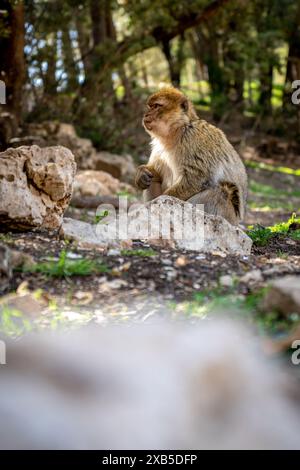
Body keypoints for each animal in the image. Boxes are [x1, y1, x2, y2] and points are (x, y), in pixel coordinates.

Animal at [135, 88, 247, 228]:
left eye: (156, 106)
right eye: (150, 107)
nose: (146, 115)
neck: (178, 131)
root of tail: (236, 223)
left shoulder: (194, 137)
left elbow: (196, 179)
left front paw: (164, 200)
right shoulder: (158, 146)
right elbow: (156, 172)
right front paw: (142, 173)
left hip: (227, 216)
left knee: (219, 193)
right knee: (152, 180)